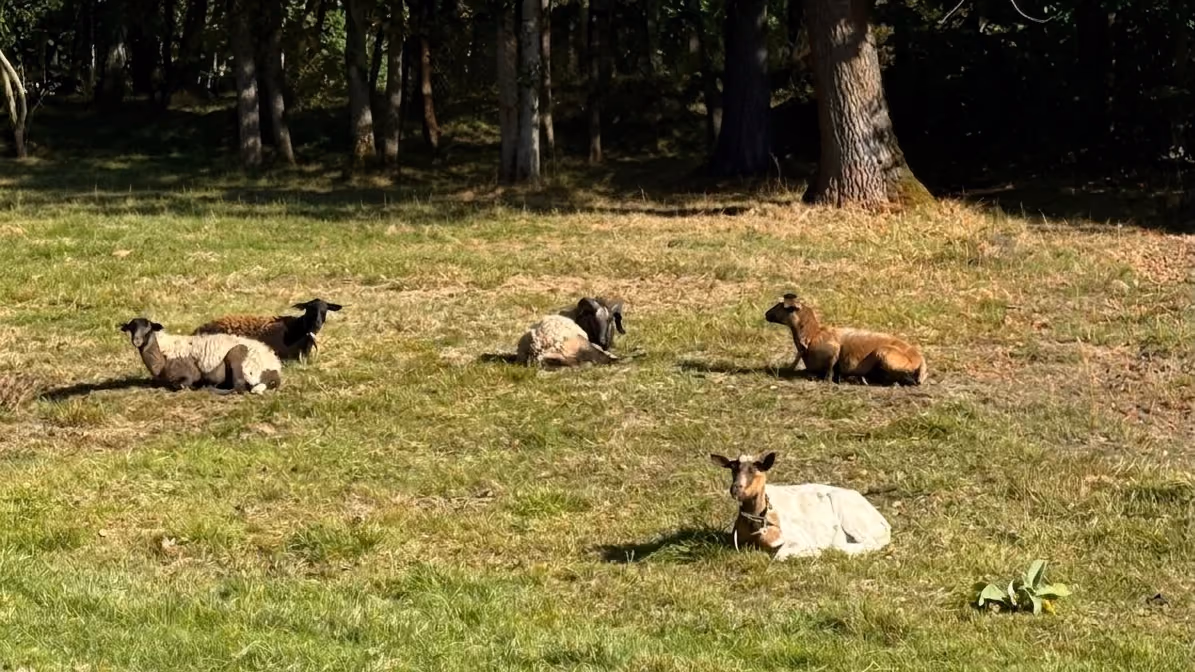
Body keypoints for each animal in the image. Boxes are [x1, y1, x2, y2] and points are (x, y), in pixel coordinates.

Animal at [120, 317, 282, 394]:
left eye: (148, 330)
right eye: (131, 328)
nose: (137, 341)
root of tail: (274, 368)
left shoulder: (188, 374)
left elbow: (180, 385)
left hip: (242, 361)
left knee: (239, 387)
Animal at [709, 451, 891, 559]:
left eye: (755, 469)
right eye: (733, 468)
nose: (735, 489)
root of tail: (884, 524)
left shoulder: (797, 538)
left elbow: (780, 555)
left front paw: (816, 551)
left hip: (852, 517)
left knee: (869, 544)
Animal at [764, 292, 927, 386]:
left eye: (780, 306)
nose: (766, 314)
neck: (812, 335)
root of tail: (920, 361)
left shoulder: (833, 353)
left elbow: (828, 372)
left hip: (884, 353)